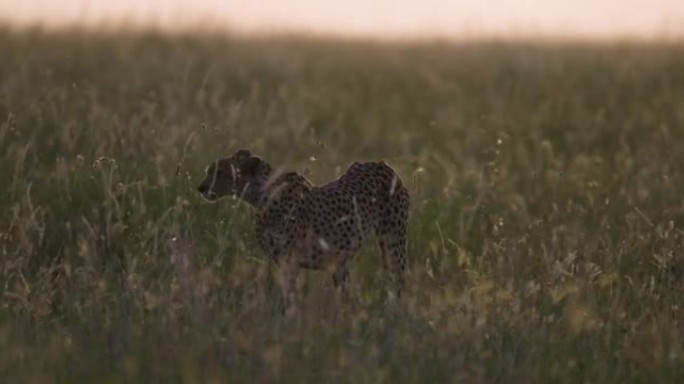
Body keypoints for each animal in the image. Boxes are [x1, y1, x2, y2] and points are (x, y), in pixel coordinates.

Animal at [198, 148, 412, 304]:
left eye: (220, 172)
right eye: (209, 170)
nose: (201, 187)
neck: (263, 196)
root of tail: (382, 164)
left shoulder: (289, 262)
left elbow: (289, 296)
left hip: (393, 245)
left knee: (399, 281)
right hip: (341, 262)